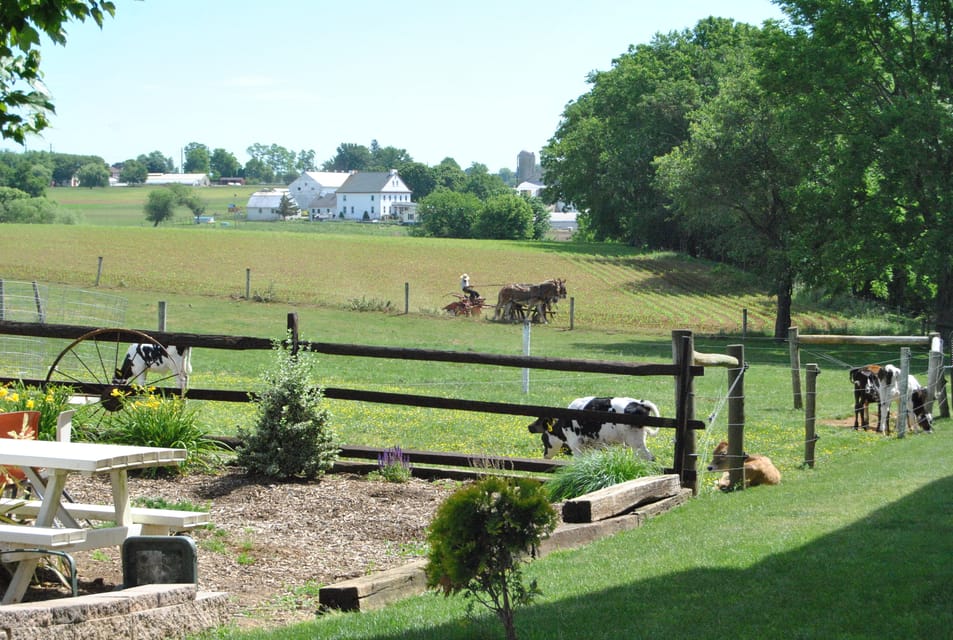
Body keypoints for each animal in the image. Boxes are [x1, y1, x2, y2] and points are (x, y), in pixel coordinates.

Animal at [524, 396, 660, 460]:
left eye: (544, 438)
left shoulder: (576, 445)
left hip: (635, 440)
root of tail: (640, 402)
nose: (544, 456)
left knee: (648, 457)